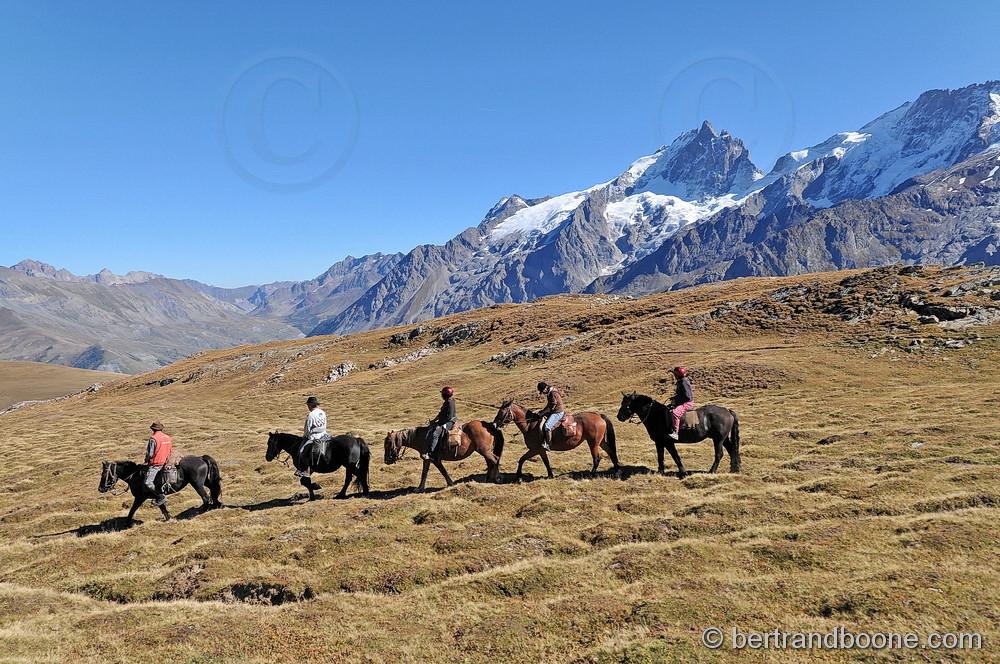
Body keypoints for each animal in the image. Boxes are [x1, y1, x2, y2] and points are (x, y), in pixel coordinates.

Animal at [492, 400, 620, 481]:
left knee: (597, 458)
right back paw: (617, 471)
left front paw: (518, 476)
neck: (530, 425)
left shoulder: (535, 449)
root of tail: (599, 416)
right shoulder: (541, 450)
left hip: (593, 443)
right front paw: (550, 475)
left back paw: (591, 475)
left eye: (501, 412)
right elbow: (546, 462)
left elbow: (522, 459)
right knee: (611, 452)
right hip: (601, 442)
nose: (494, 424)